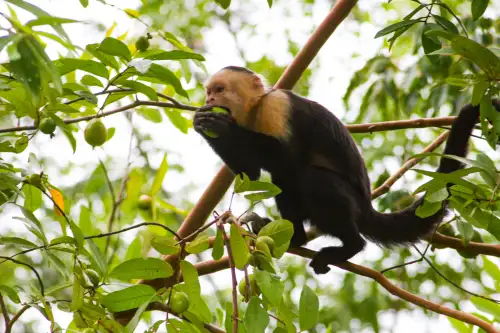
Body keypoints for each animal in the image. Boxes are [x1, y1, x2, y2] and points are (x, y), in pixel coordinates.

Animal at [193, 64, 498, 272]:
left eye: (220, 90)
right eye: (209, 92)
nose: (209, 101)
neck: (256, 108)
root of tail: (366, 207)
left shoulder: (276, 107)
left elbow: (288, 158)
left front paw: (219, 124)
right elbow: (251, 175)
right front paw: (205, 126)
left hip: (350, 203)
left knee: (308, 177)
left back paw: (350, 246)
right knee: (286, 183)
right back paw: (296, 238)